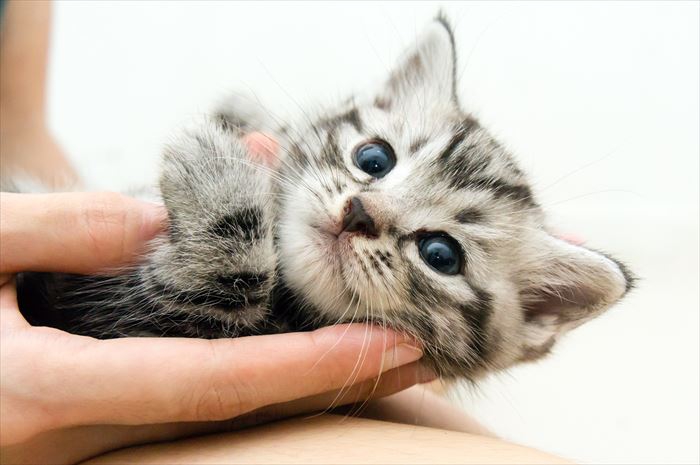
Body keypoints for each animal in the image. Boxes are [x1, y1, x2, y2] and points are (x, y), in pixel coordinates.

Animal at [13, 16, 636, 378]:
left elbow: (212, 286)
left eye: (441, 255)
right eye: (374, 159)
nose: (359, 213)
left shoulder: (109, 316)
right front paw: (246, 114)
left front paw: (213, 169)